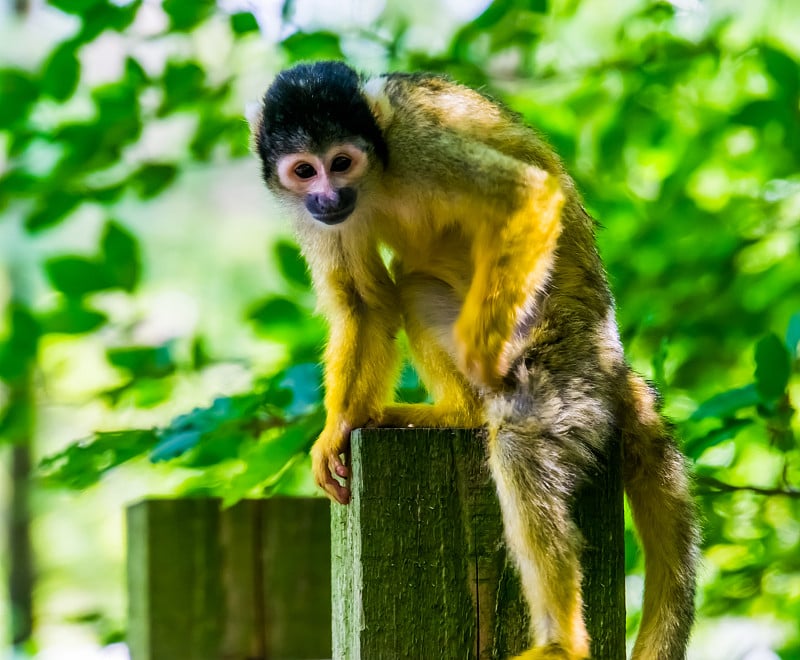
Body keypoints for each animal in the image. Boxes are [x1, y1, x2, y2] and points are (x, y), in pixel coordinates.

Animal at [252, 63, 700, 660]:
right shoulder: (315, 216)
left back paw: (561, 643)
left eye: (341, 162)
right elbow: (364, 302)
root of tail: (613, 362)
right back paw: (459, 412)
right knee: (414, 285)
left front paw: (480, 347)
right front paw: (340, 426)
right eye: (305, 170)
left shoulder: (417, 144)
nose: (327, 195)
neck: (376, 178)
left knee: (520, 441)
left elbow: (526, 197)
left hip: (569, 362)